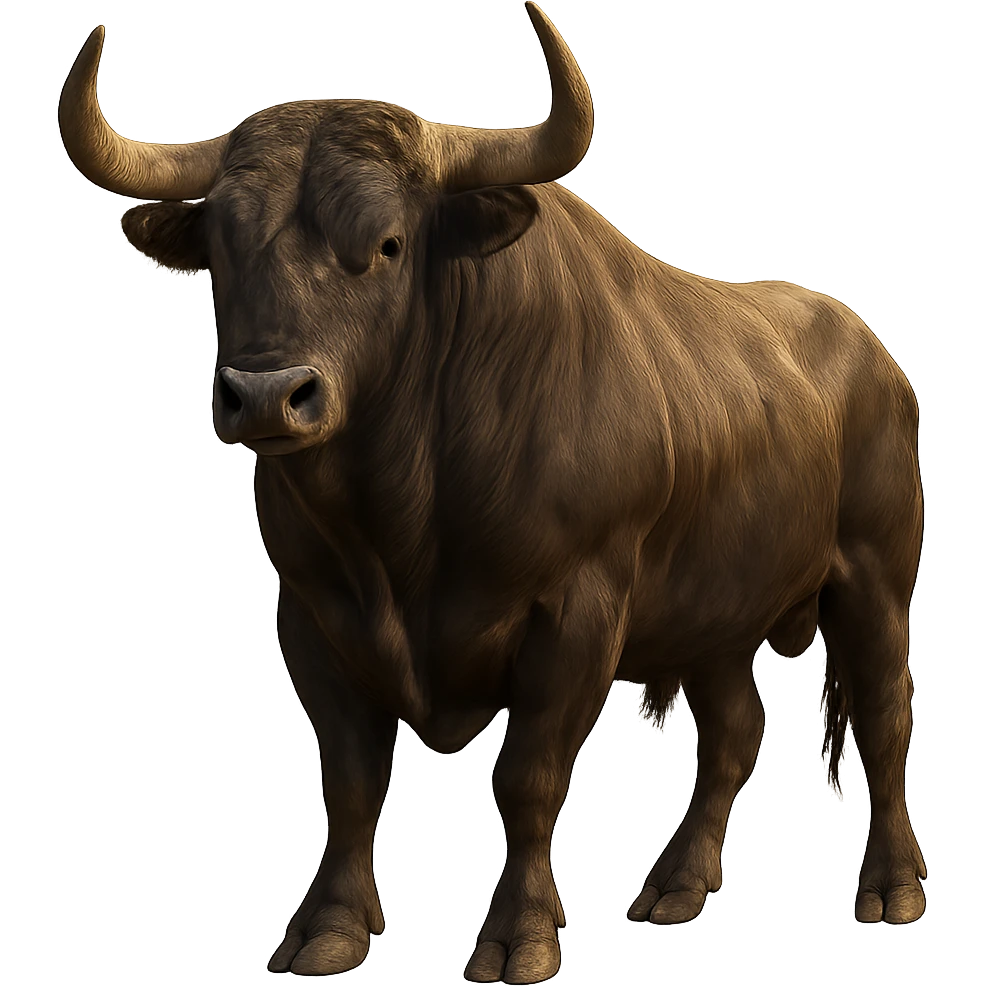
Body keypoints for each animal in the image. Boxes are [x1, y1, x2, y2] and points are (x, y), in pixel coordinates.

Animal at [58, 3, 926, 981]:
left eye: (388, 244)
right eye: (219, 250)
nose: (267, 393)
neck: (402, 521)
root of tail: (869, 349)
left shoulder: (578, 613)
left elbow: (527, 779)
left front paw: (521, 939)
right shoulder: (312, 615)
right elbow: (351, 782)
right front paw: (327, 933)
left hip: (873, 583)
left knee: (886, 718)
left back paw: (892, 891)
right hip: (717, 614)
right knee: (735, 735)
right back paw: (673, 890)